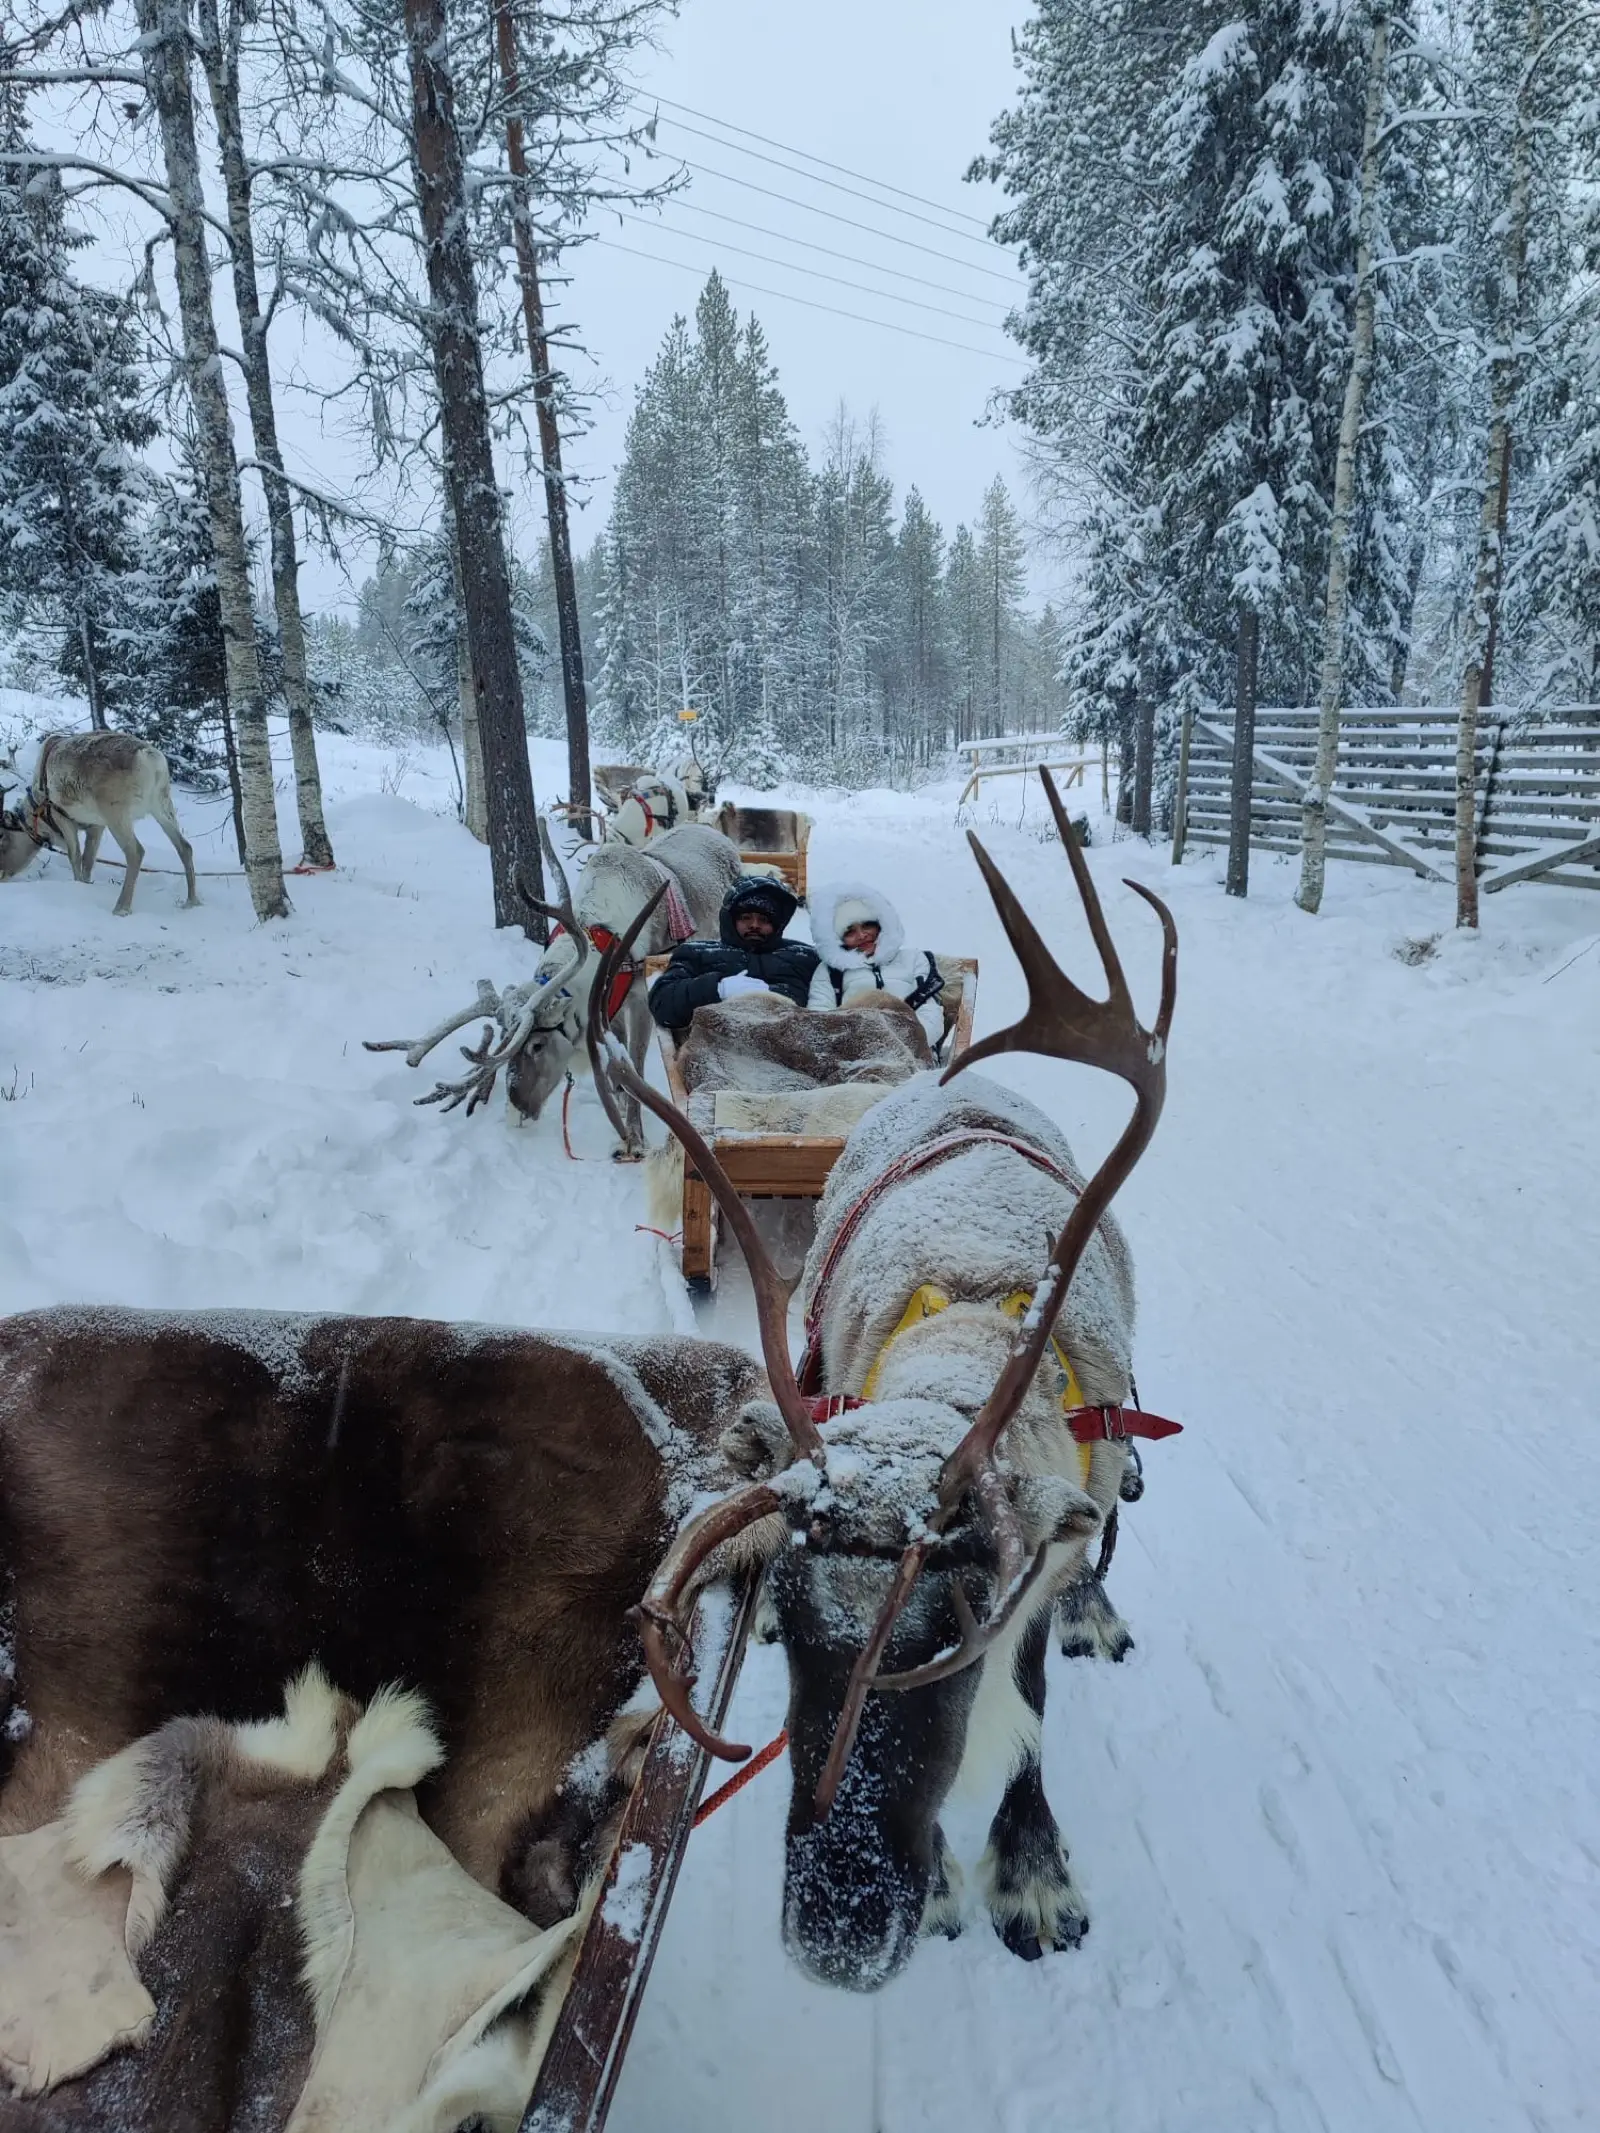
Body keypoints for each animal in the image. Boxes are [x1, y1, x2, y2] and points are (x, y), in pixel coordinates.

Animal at [0, 731, 199, 915]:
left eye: (3, 838)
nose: (2, 876)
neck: (37, 813)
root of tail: (150, 758)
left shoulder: (62, 816)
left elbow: (75, 856)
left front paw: (78, 883)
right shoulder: (96, 825)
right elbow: (88, 859)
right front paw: (86, 883)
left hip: (116, 813)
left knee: (136, 852)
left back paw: (121, 908)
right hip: (161, 804)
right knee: (185, 846)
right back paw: (191, 901)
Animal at [364, 815, 741, 1156]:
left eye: (537, 1045)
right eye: (504, 1041)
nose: (517, 1113)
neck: (602, 935)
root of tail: (714, 831)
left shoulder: (639, 1000)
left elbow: (635, 1064)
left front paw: (635, 1139)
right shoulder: (609, 1005)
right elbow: (616, 1066)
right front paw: (619, 1111)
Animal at [583, 767, 1179, 1989]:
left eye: (958, 1625)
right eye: (794, 1599)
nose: (837, 1933)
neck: (968, 1318)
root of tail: (934, 1083)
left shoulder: (1047, 1526)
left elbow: (1031, 1693)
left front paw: (1030, 1871)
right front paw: (958, 1877)